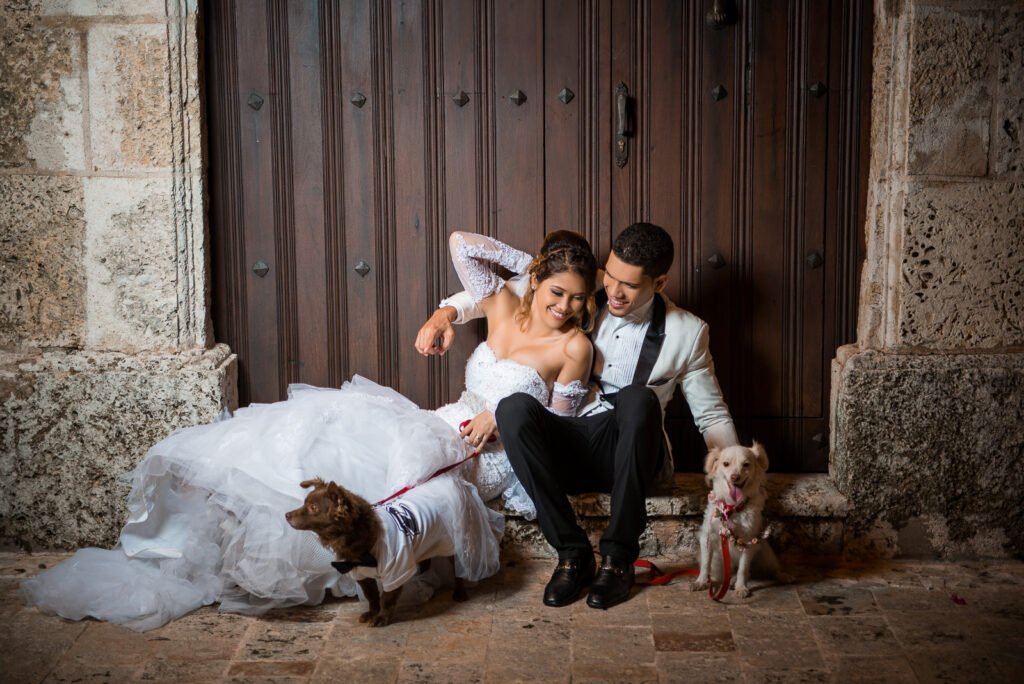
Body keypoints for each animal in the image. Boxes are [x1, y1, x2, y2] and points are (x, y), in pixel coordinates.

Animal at [286, 475, 466, 626]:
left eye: (313, 508)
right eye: (304, 502)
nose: (286, 515)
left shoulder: (395, 571)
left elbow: (386, 597)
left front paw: (382, 618)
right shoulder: (361, 574)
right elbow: (372, 596)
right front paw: (372, 613)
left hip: (451, 545)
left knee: (459, 569)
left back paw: (459, 592)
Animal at [692, 440, 778, 593]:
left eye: (746, 464)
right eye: (726, 463)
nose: (735, 477)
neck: (732, 507)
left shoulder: (748, 541)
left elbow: (743, 569)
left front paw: (741, 587)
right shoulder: (708, 536)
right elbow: (705, 565)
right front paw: (701, 581)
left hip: (766, 552)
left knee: (763, 570)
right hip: (718, 561)